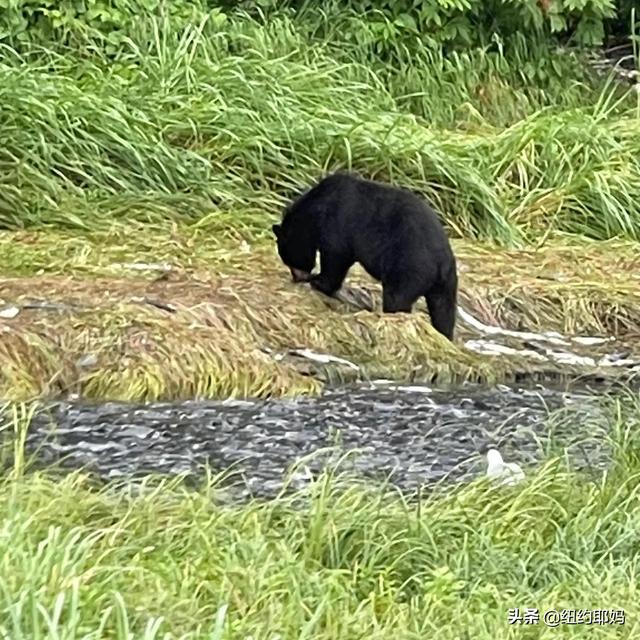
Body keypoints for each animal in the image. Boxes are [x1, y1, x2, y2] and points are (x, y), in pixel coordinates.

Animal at [272, 171, 458, 341]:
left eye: (287, 258)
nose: (297, 278)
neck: (315, 209)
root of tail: (441, 263)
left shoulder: (337, 222)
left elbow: (336, 256)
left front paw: (318, 282)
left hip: (409, 266)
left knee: (397, 298)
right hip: (446, 284)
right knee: (444, 312)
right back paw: (444, 335)